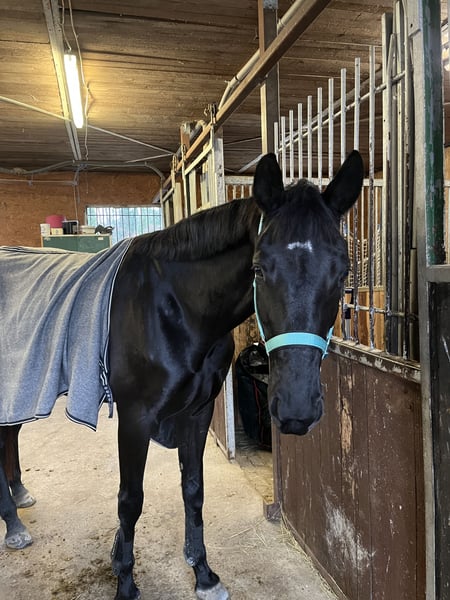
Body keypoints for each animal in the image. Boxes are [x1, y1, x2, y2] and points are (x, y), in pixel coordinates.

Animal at [0, 150, 363, 600]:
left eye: (343, 272)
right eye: (259, 269)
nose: (296, 410)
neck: (174, 308)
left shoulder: (197, 412)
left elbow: (193, 488)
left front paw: (203, 573)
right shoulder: (135, 419)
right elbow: (130, 500)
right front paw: (125, 582)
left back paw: (18, 502)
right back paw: (13, 524)